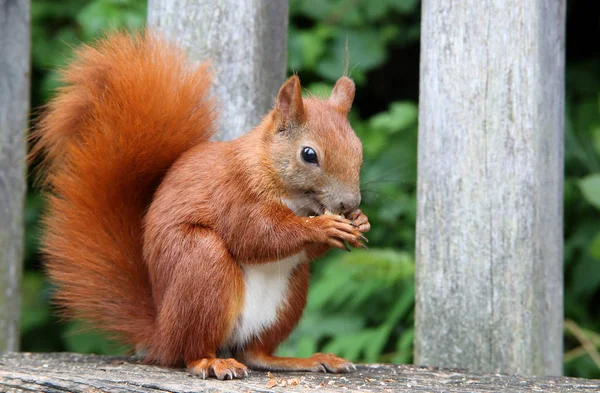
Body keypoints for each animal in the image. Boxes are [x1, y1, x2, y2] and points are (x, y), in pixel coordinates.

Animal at [34, 31, 370, 380]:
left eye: (358, 148)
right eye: (308, 154)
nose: (349, 202)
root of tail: (161, 334)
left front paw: (359, 221)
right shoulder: (234, 194)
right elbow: (256, 236)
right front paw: (324, 226)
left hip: (290, 292)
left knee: (256, 353)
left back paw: (304, 360)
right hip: (202, 264)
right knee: (191, 351)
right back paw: (210, 362)